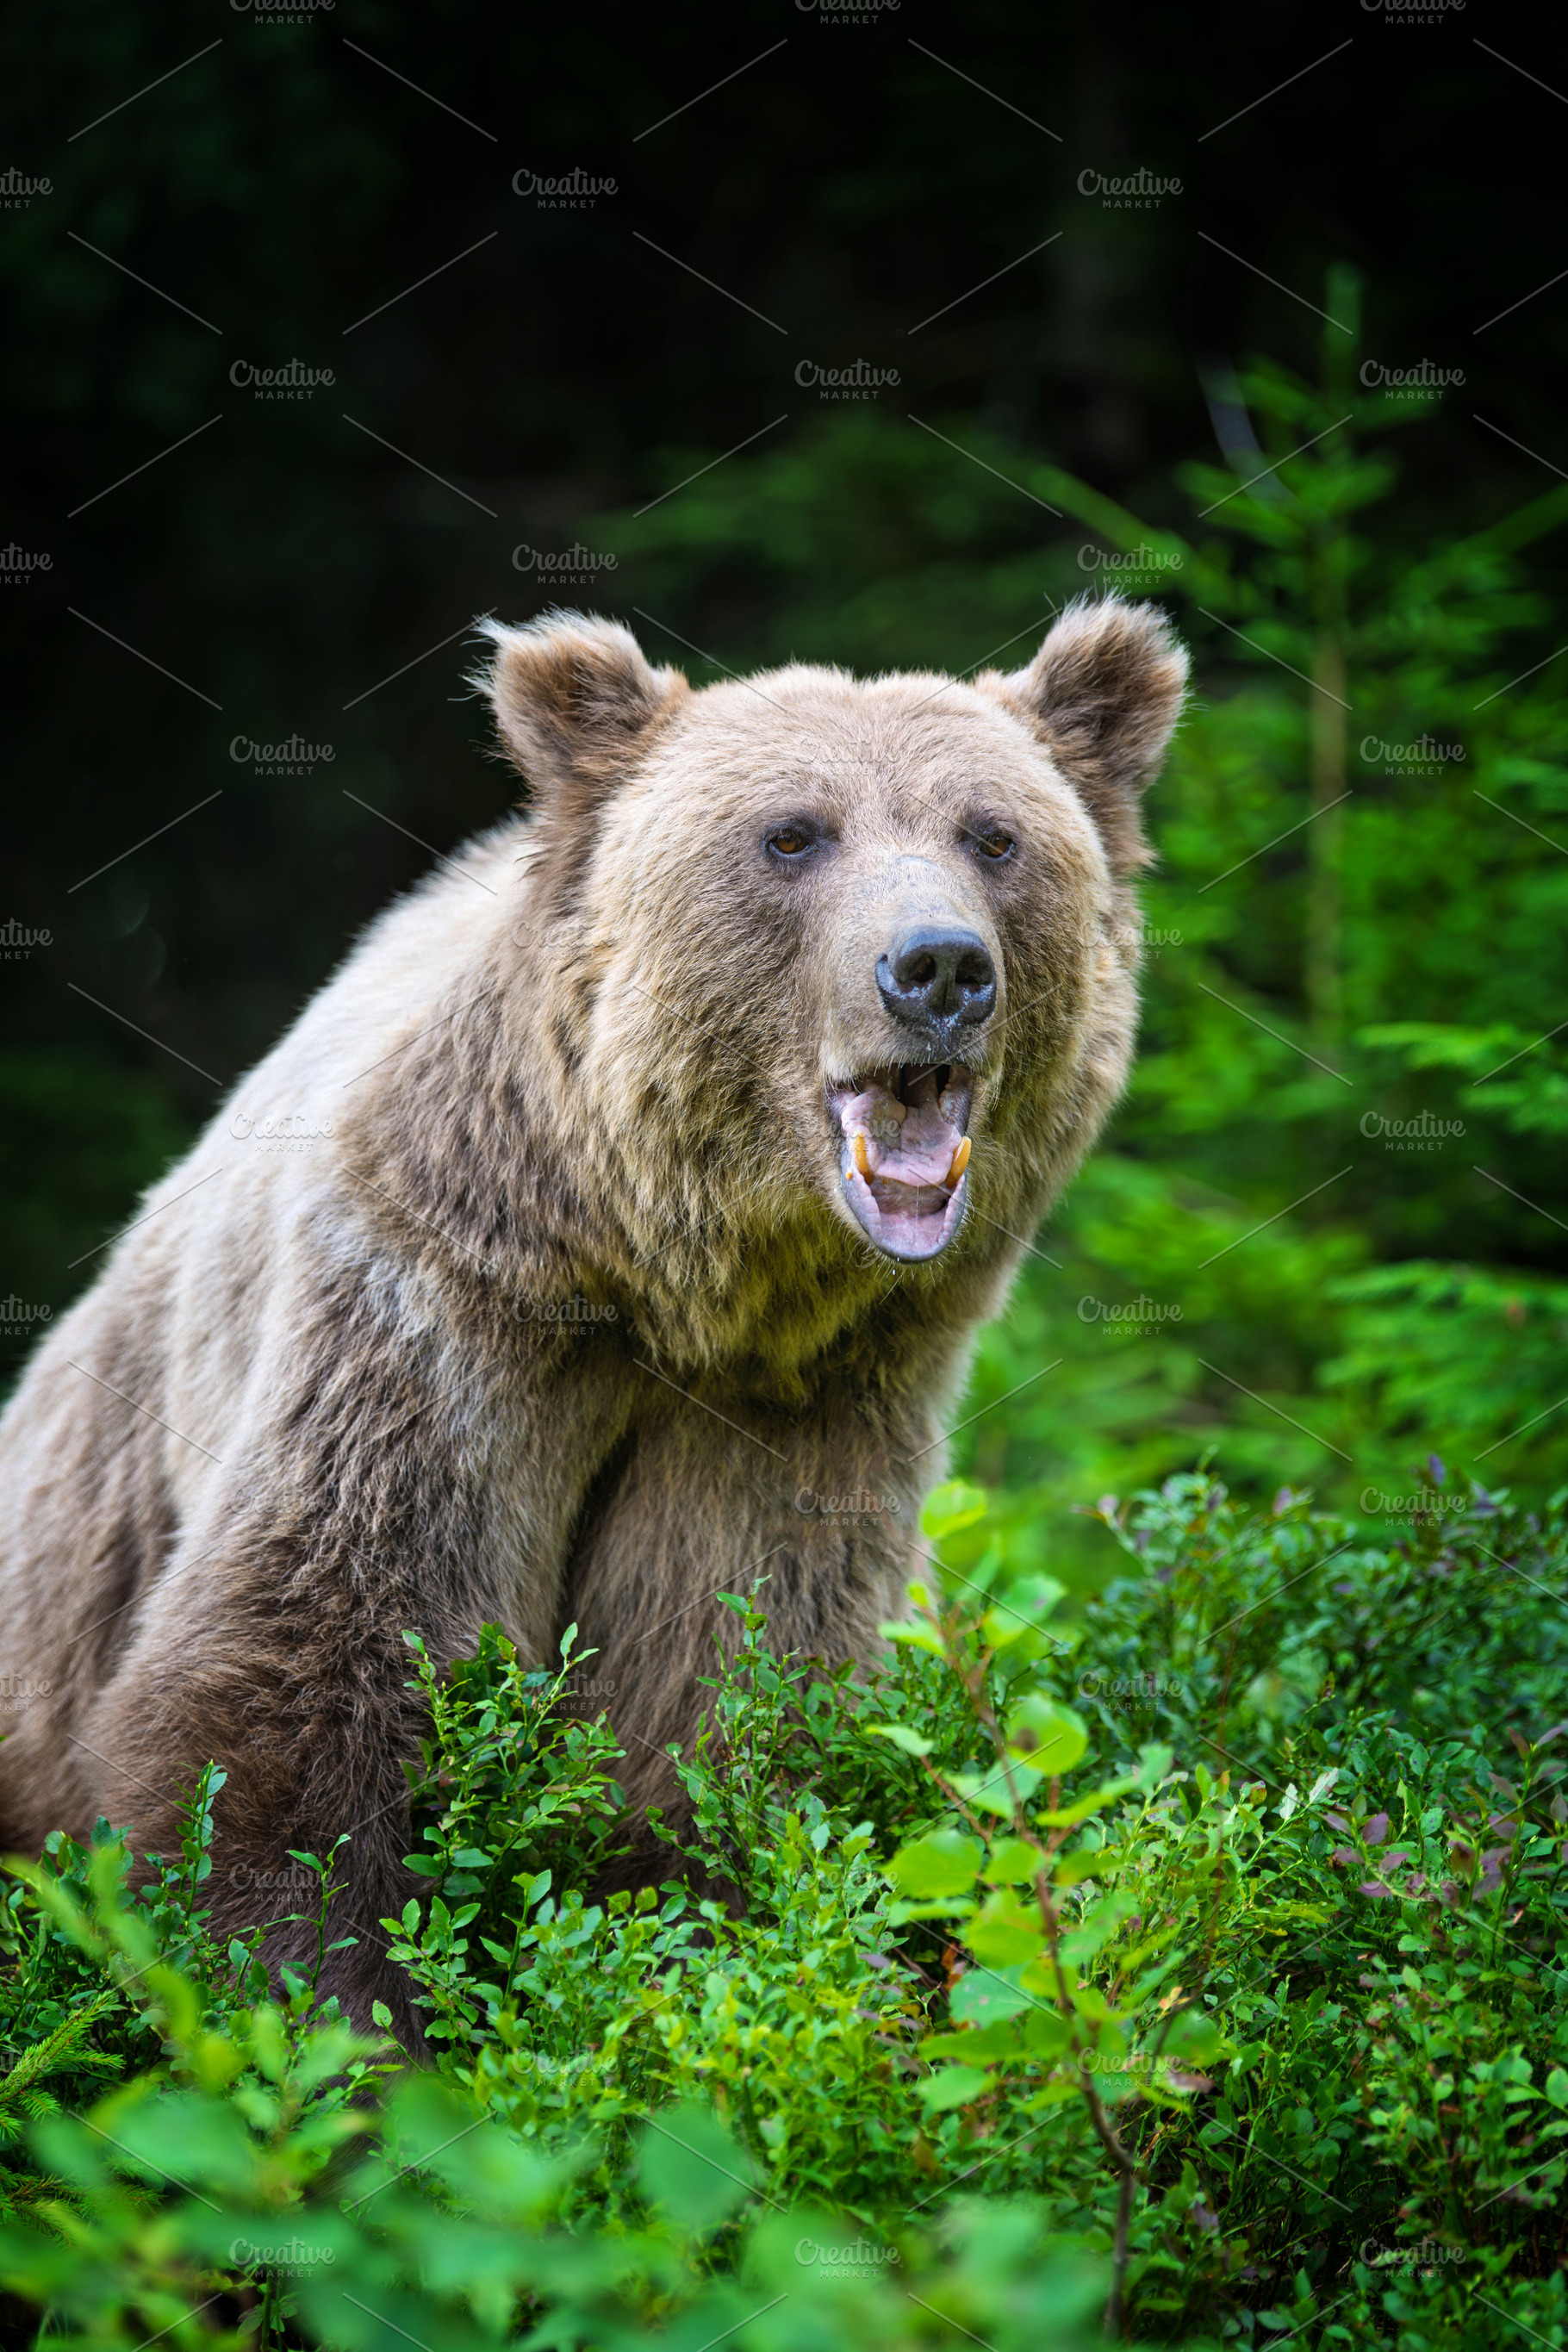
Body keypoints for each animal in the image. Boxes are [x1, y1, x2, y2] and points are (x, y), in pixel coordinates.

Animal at [0, 595, 1187, 2043]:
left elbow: (726, 1679)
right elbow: (304, 1656)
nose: (939, 967)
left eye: (993, 834)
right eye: (793, 833)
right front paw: (344, 2025)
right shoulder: (441, 1304)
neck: (671, 1275)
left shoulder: (809, 1401)